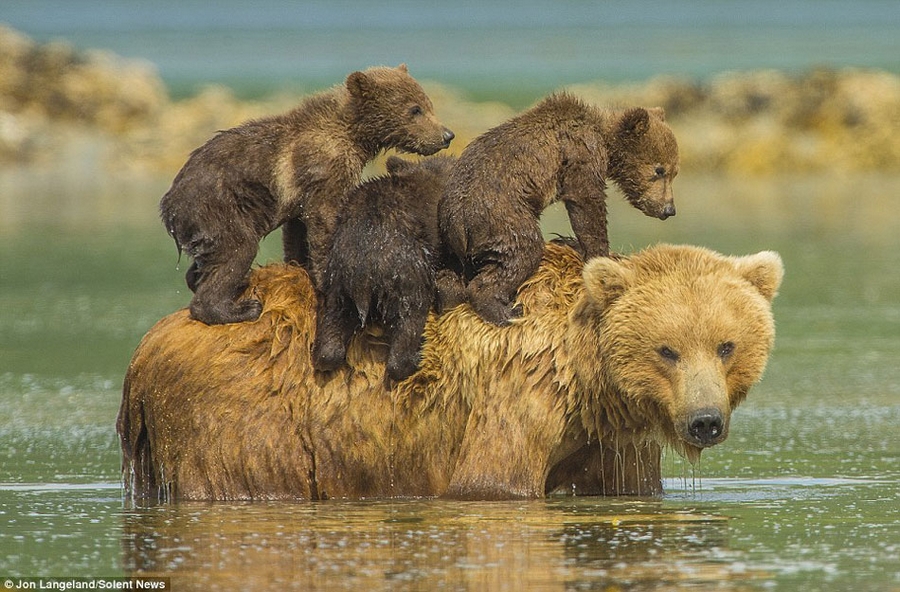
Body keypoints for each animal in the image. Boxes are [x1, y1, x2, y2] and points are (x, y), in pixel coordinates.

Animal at [118, 243, 780, 502]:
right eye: (666, 350)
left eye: (726, 345)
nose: (704, 421)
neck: (585, 379)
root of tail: (145, 348)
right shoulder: (516, 399)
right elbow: (492, 481)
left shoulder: (613, 440)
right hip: (242, 413)